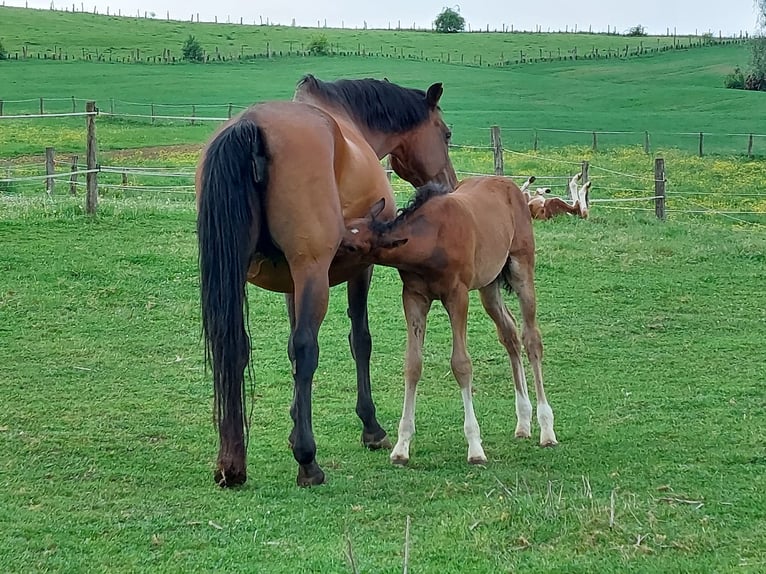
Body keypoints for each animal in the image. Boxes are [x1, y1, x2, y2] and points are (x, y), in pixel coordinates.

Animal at [198, 75, 460, 490]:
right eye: (445, 133)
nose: (450, 184)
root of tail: (251, 126)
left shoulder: (292, 283)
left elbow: (291, 350)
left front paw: (293, 429)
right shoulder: (359, 268)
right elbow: (359, 339)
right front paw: (370, 427)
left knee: (236, 347)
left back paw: (232, 464)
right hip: (313, 272)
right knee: (308, 348)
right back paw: (308, 462)